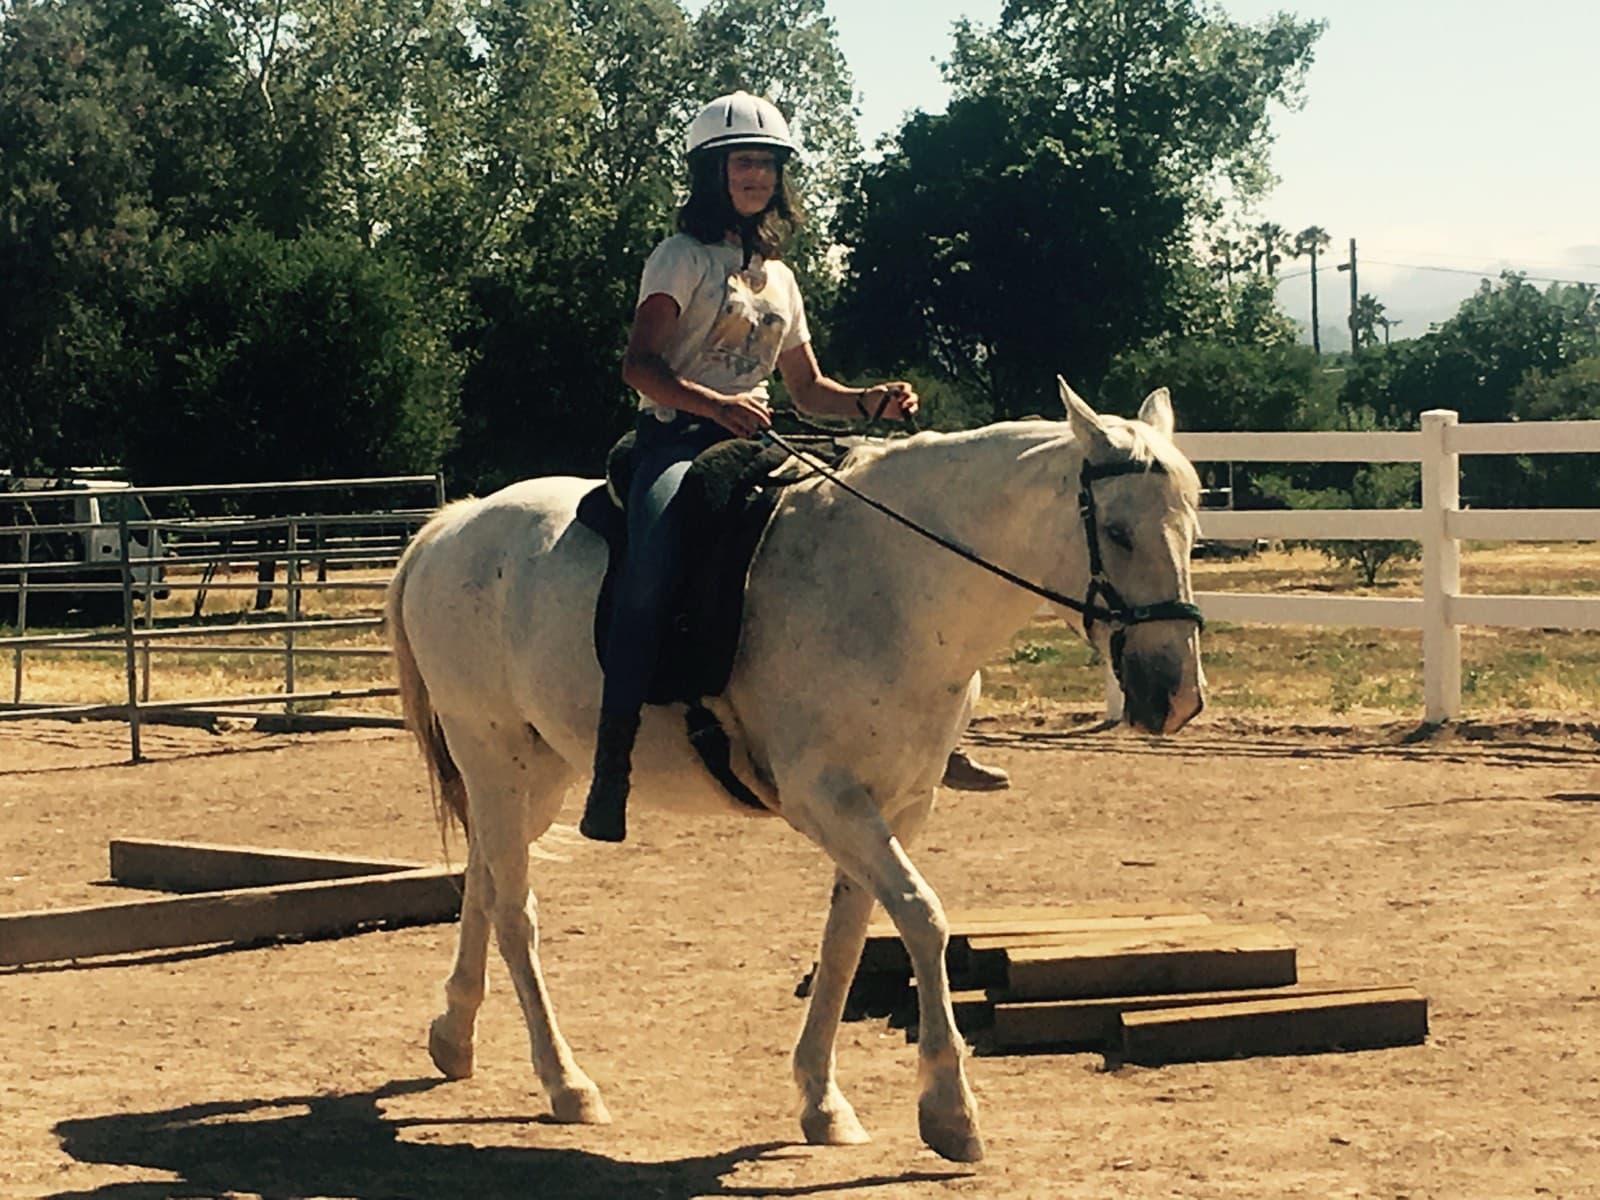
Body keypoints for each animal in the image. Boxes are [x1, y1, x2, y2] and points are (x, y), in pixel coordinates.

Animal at [385, 379, 1206, 1163]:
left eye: (1194, 531)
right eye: (1118, 532)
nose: (1174, 696)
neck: (896, 584)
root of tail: (454, 525)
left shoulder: (897, 805)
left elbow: (847, 938)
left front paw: (822, 1100)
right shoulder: (826, 798)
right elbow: (923, 917)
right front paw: (950, 1112)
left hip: (538, 770)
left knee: (485, 880)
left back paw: (454, 1037)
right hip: (492, 754)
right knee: (515, 910)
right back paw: (565, 1082)